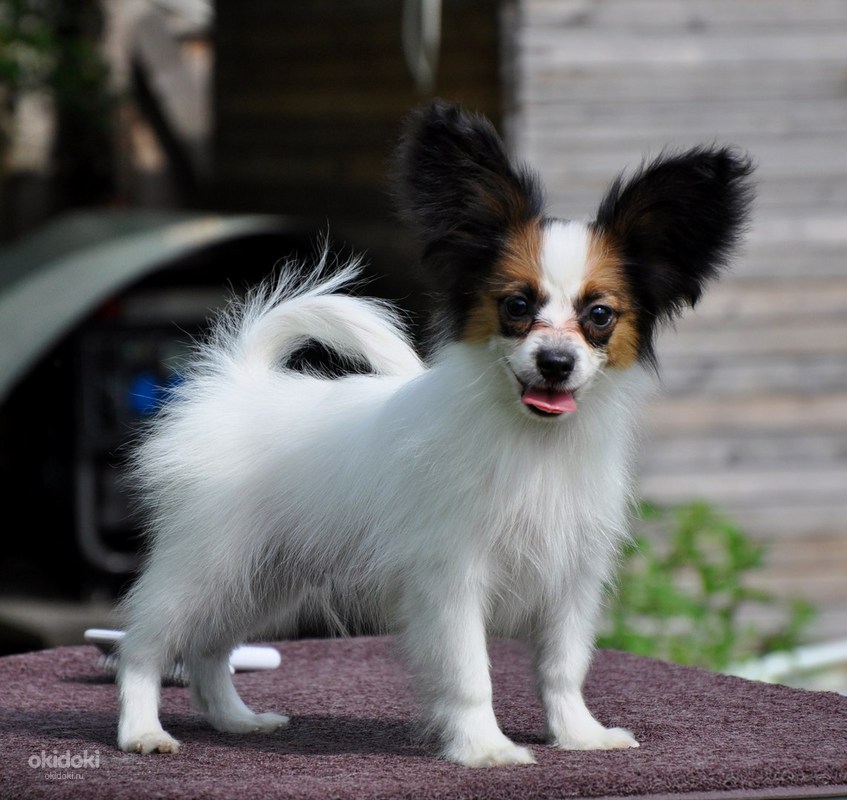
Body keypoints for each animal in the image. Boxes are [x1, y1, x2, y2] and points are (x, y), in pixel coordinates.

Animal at [114, 101, 756, 768]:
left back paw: (236, 720)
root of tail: (240, 381)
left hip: (262, 577)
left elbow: (563, 669)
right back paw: (141, 731)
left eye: (599, 315)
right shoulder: (450, 578)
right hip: (209, 562)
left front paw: (579, 735)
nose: (555, 363)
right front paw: (484, 748)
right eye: (517, 306)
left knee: (209, 649)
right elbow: (470, 673)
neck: (533, 443)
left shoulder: (570, 578)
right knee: (144, 644)